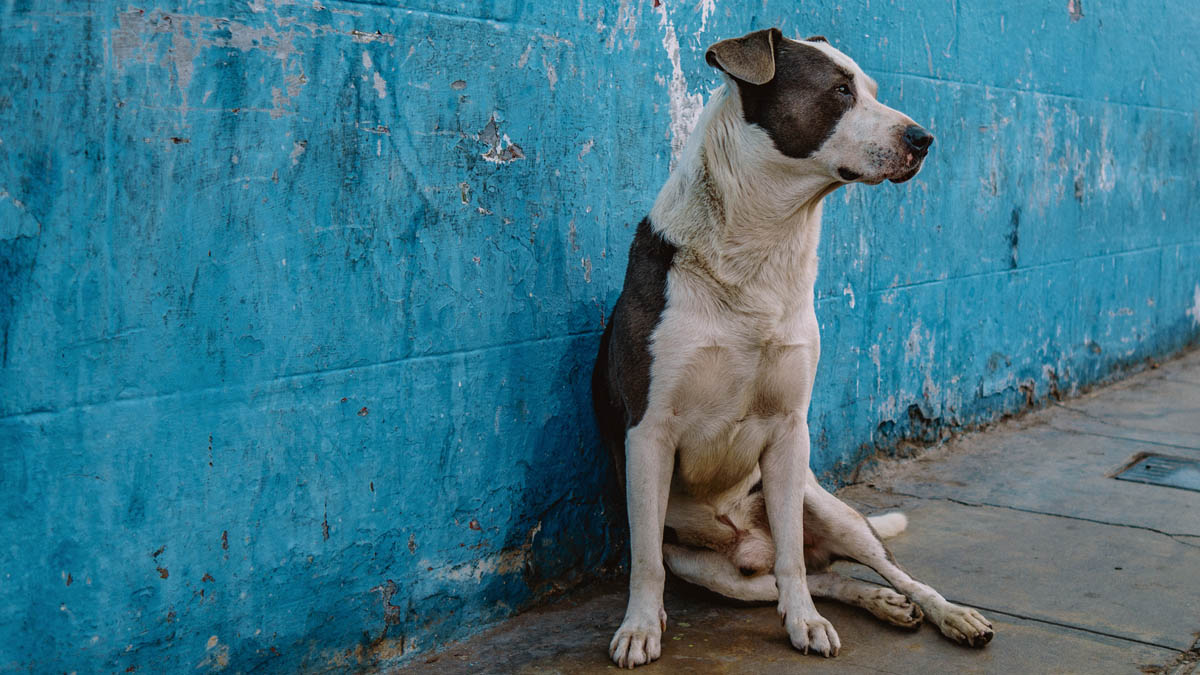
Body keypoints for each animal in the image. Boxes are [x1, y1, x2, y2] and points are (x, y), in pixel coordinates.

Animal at [590, 28, 993, 662]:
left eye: (869, 88)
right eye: (840, 91)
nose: (923, 139)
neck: (760, 250)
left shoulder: (788, 429)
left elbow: (793, 565)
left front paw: (804, 624)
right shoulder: (648, 432)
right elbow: (645, 560)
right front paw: (639, 628)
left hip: (826, 505)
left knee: (860, 565)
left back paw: (944, 612)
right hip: (713, 572)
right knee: (812, 575)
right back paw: (879, 603)